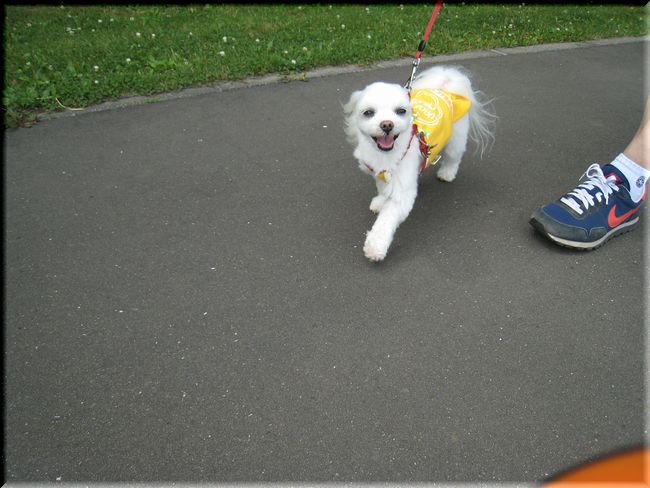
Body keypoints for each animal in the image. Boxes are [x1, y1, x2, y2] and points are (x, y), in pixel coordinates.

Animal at [344, 65, 495, 262]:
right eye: (368, 112)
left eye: (401, 111)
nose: (387, 125)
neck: (387, 155)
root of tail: (445, 86)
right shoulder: (380, 172)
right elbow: (383, 189)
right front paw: (380, 201)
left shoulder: (401, 193)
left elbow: (387, 219)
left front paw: (375, 247)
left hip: (456, 138)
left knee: (453, 157)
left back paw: (447, 173)